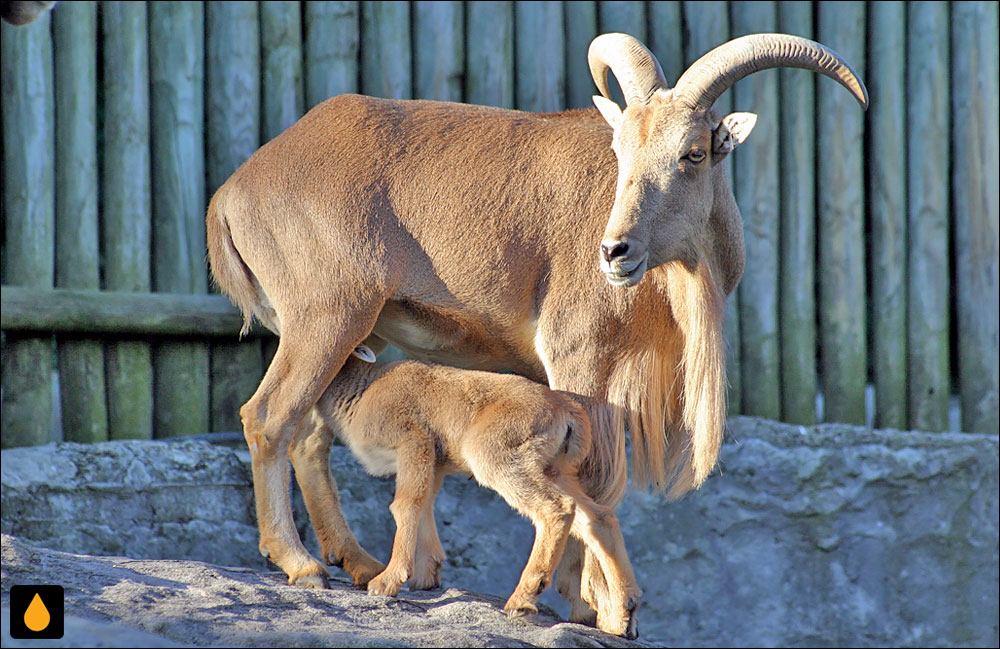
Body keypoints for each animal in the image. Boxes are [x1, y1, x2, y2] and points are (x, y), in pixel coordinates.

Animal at [207, 34, 864, 624]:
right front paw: (593, 606)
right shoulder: (578, 359)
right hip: (326, 317)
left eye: (693, 153)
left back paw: (359, 564)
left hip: (357, 333)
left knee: (311, 434)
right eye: (621, 151)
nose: (614, 252)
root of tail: (233, 191)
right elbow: (592, 481)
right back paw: (301, 564)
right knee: (268, 418)